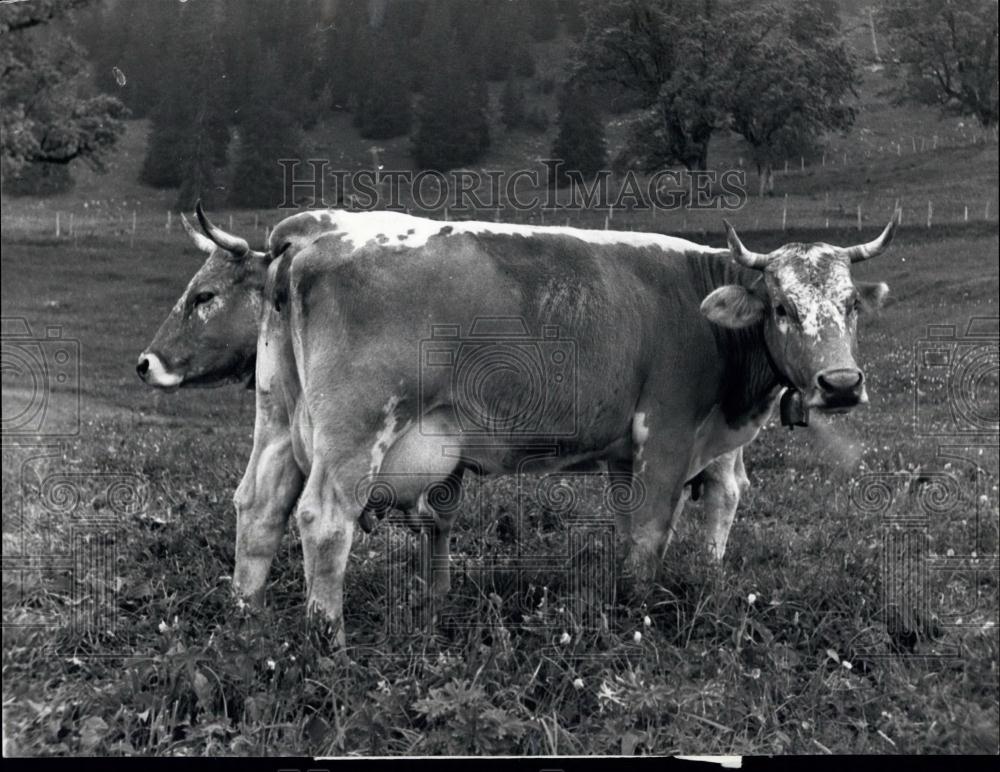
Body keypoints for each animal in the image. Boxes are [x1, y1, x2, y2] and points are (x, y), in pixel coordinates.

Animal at [137, 202, 896, 644]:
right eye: (783, 308)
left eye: (849, 305)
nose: (840, 384)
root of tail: (312, 238)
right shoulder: (667, 435)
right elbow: (651, 532)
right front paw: (640, 615)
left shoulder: (635, 452)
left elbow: (660, 521)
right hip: (354, 430)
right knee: (323, 520)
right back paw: (328, 643)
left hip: (278, 423)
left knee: (259, 508)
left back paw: (246, 620)